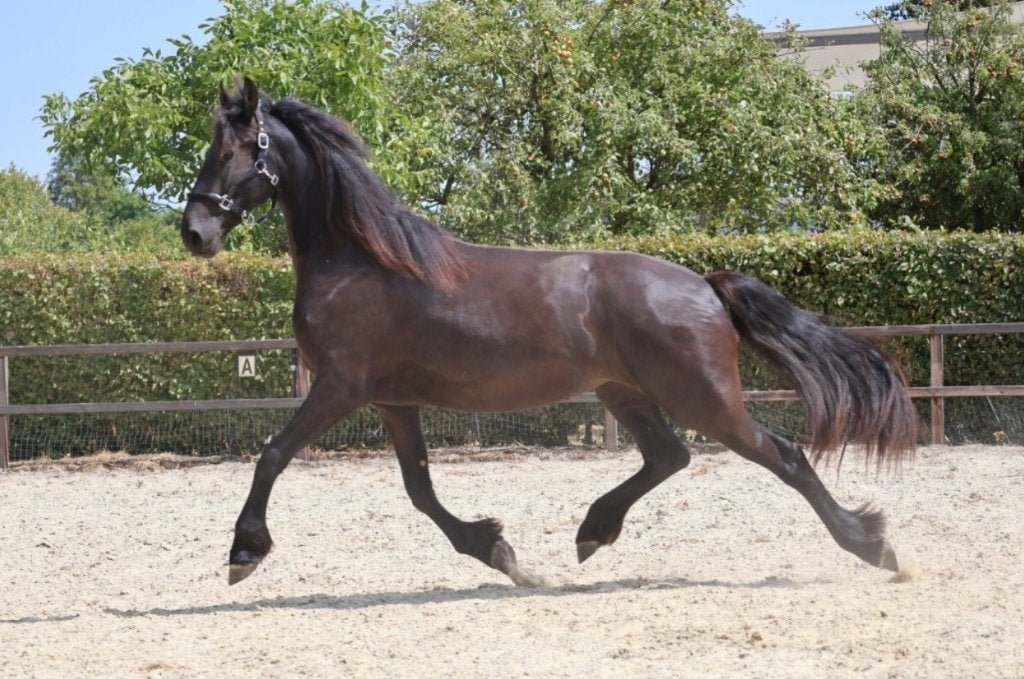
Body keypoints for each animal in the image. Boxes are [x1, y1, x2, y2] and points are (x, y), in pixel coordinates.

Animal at [182, 78, 918, 587]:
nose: (195, 232)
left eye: (238, 148)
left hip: (704, 398)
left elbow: (272, 454)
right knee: (668, 456)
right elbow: (420, 490)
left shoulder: (341, 386)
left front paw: (244, 551)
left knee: (783, 455)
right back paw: (592, 532)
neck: (360, 259)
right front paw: (499, 552)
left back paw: (874, 546)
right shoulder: (393, 400)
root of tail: (704, 285)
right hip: (625, 391)